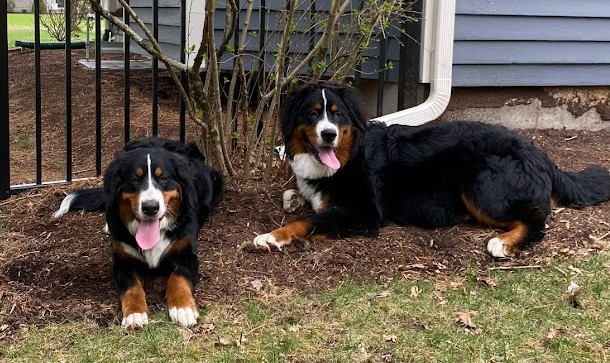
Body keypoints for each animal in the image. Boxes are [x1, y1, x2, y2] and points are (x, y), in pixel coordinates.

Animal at [54, 138, 223, 328]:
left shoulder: (186, 255)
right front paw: (135, 313)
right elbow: (131, 287)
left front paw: (183, 308)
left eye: (163, 178)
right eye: (135, 179)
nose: (150, 207)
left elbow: (178, 278)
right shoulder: (124, 262)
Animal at [247, 82, 608, 258]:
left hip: (479, 182)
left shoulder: (364, 211)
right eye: (313, 113)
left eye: (336, 114)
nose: (328, 135)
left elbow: (310, 220)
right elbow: (296, 195)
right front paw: (295, 198)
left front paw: (272, 237)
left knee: (536, 221)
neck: (349, 155)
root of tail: (537, 151)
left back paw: (502, 244)